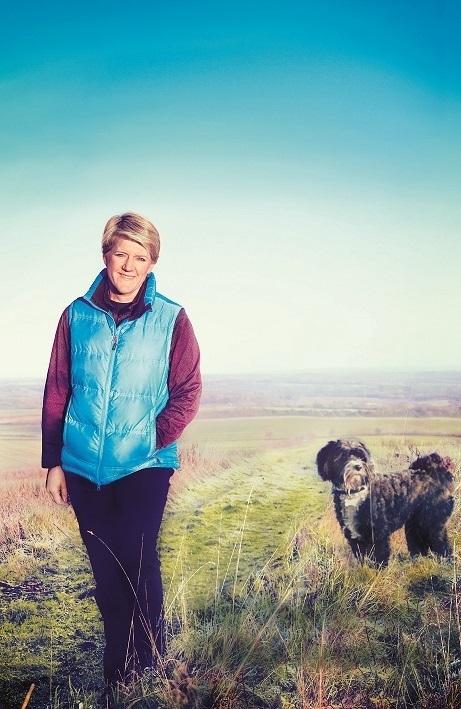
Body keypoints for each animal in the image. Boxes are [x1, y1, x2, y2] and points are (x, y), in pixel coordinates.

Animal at [316, 440, 452, 568]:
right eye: (343, 455)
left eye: (361, 457)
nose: (358, 466)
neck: (355, 492)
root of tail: (434, 474)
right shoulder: (354, 535)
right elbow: (361, 557)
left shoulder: (379, 533)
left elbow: (380, 556)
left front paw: (378, 571)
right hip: (415, 524)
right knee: (418, 542)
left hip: (433, 523)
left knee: (442, 543)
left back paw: (447, 562)